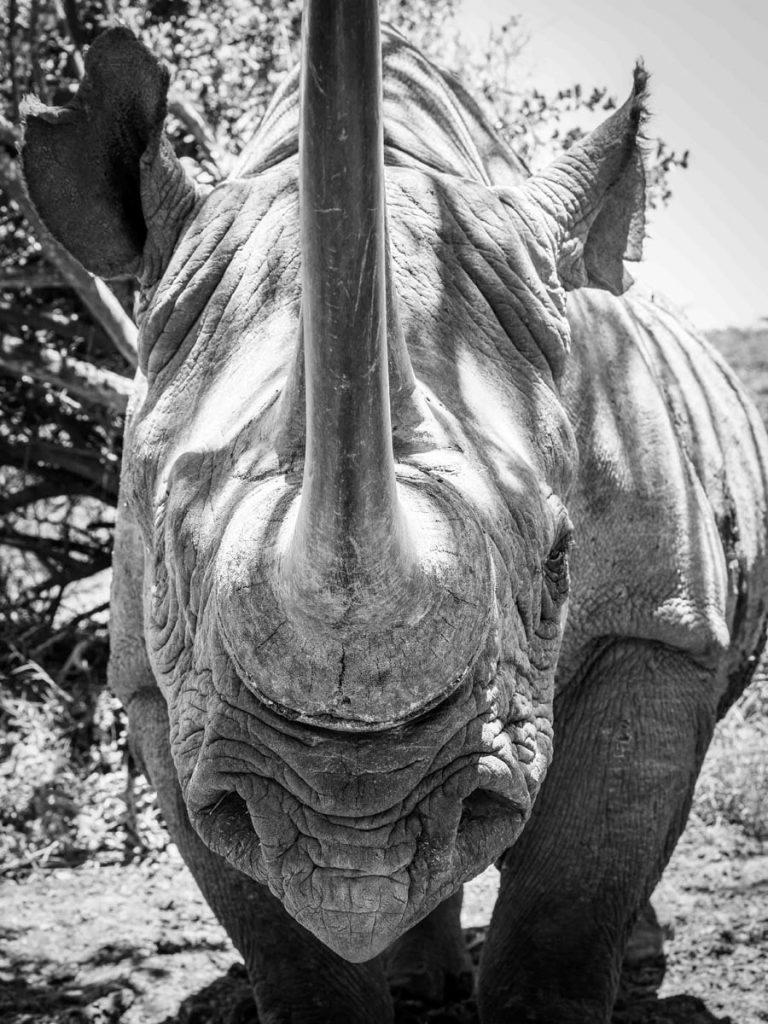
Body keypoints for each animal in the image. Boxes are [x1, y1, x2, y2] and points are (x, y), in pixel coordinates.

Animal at [22, 1, 768, 1021]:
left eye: (559, 561)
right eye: (166, 568)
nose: (353, 821)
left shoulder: (658, 622)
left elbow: (576, 880)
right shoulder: (154, 681)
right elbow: (281, 933)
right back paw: (421, 985)